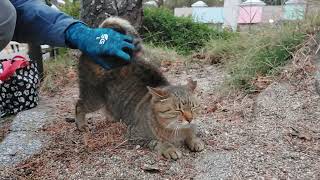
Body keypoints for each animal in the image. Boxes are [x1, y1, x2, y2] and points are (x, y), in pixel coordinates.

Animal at [76, 17, 204, 160]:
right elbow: (158, 142)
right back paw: (81, 125)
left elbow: (191, 133)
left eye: (193, 107)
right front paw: (169, 148)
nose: (190, 119)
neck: (177, 131)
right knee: (79, 105)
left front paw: (194, 140)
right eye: (178, 110)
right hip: (94, 97)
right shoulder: (135, 134)